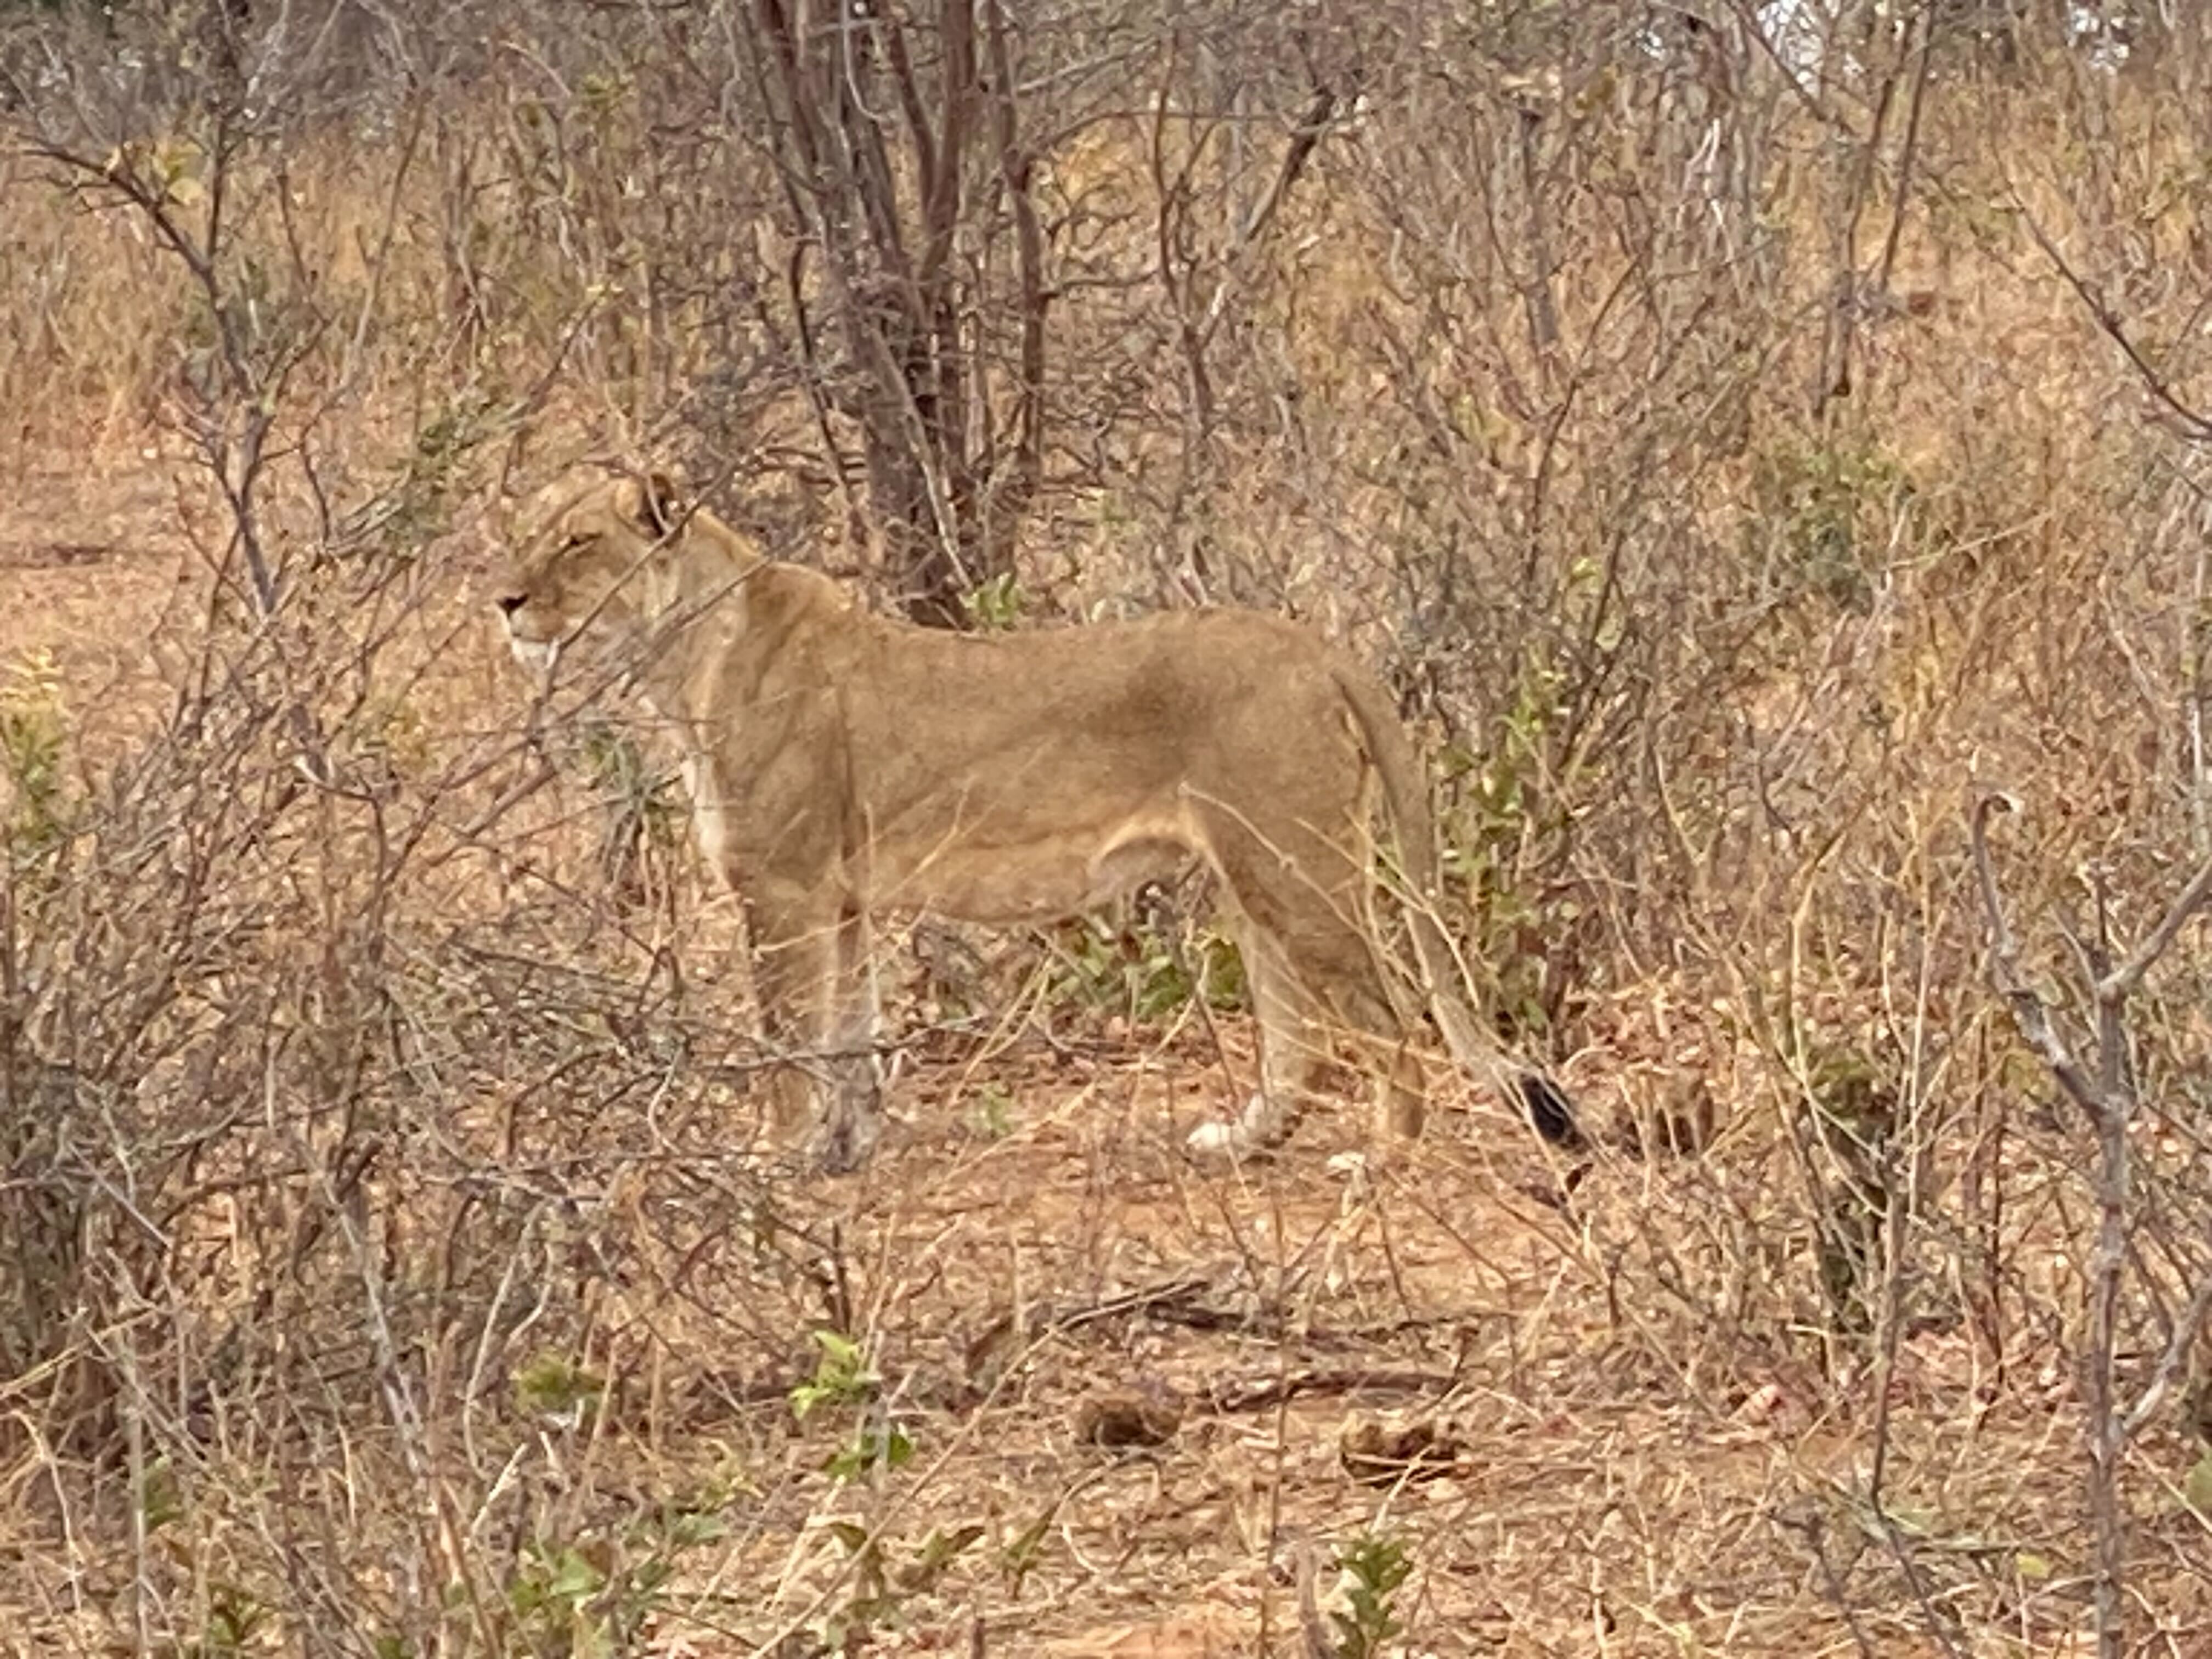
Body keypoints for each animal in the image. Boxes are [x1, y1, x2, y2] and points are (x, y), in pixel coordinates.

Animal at [494, 464, 1580, 1172]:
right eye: (531, 534)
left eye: (577, 543)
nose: (504, 601)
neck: (686, 659)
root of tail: (1314, 644)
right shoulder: (839, 899)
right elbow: (850, 1035)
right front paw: (846, 1151)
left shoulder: (784, 889)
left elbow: (791, 1044)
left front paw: (776, 1158)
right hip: (1253, 874)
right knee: (1300, 1035)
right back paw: (1239, 1141)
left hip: (1294, 864)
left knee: (1391, 1020)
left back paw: (1380, 1158)